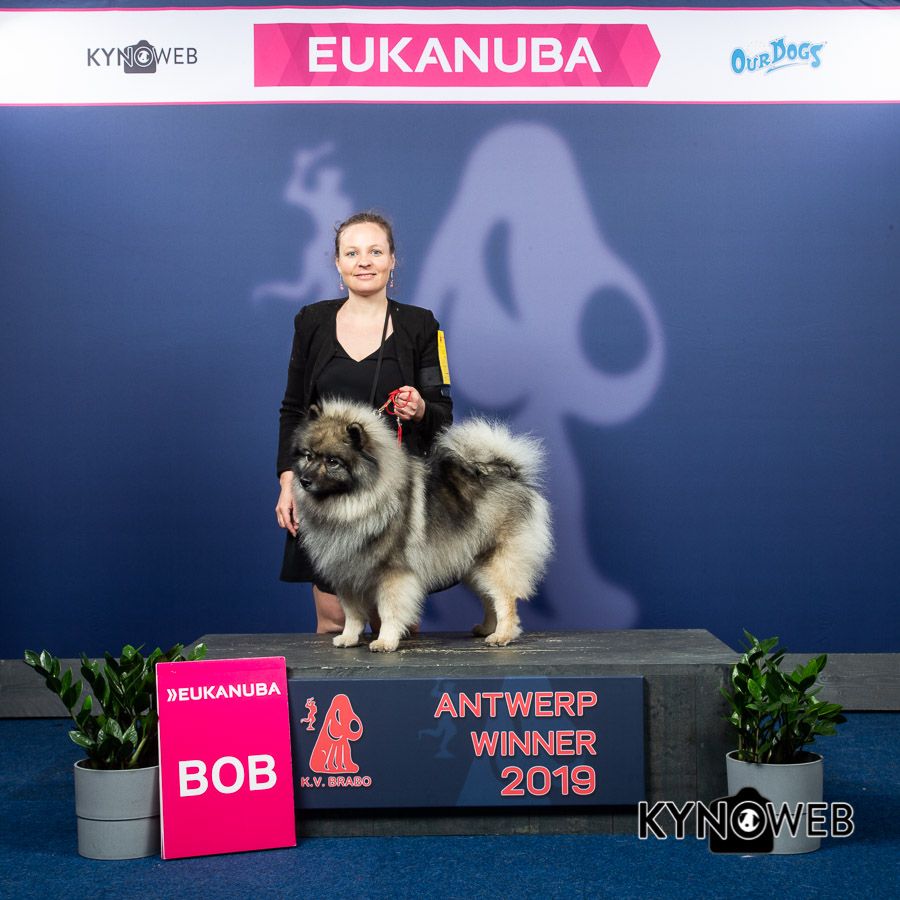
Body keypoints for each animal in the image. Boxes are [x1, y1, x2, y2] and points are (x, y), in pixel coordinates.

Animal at [291, 398, 552, 652]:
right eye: (308, 456)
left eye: (332, 462)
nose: (304, 481)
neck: (352, 504)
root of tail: (508, 473)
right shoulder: (347, 572)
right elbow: (352, 613)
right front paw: (348, 638)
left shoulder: (393, 573)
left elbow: (389, 611)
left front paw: (385, 641)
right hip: (474, 564)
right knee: (489, 598)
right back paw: (487, 628)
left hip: (495, 562)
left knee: (504, 599)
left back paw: (502, 635)